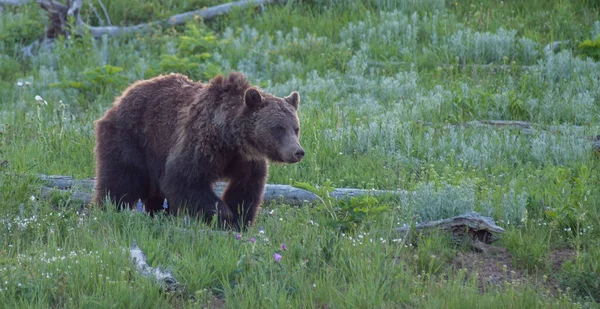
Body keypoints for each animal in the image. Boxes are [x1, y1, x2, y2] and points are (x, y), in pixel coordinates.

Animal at [92, 70, 304, 229]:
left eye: (296, 128)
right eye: (278, 128)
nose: (298, 152)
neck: (230, 138)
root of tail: (122, 95)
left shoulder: (246, 159)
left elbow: (246, 189)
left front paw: (239, 221)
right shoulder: (202, 143)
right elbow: (184, 179)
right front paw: (223, 215)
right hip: (132, 138)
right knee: (121, 180)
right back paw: (109, 211)